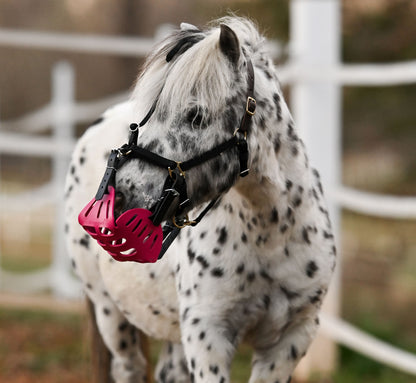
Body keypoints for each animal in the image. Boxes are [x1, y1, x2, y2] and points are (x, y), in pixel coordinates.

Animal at [66, 16, 338, 383]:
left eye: (196, 116)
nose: (119, 196)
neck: (270, 232)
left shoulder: (291, 339)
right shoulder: (207, 334)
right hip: (109, 309)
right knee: (129, 366)